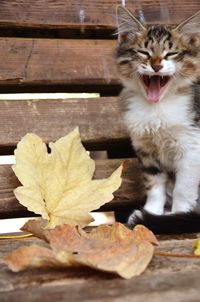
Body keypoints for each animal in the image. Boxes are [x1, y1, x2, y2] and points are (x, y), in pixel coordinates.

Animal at [115, 5, 200, 235]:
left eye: (171, 54)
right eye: (144, 52)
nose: (156, 66)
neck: (156, 109)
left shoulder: (192, 148)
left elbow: (183, 188)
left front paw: (177, 214)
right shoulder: (145, 149)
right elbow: (154, 185)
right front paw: (152, 212)